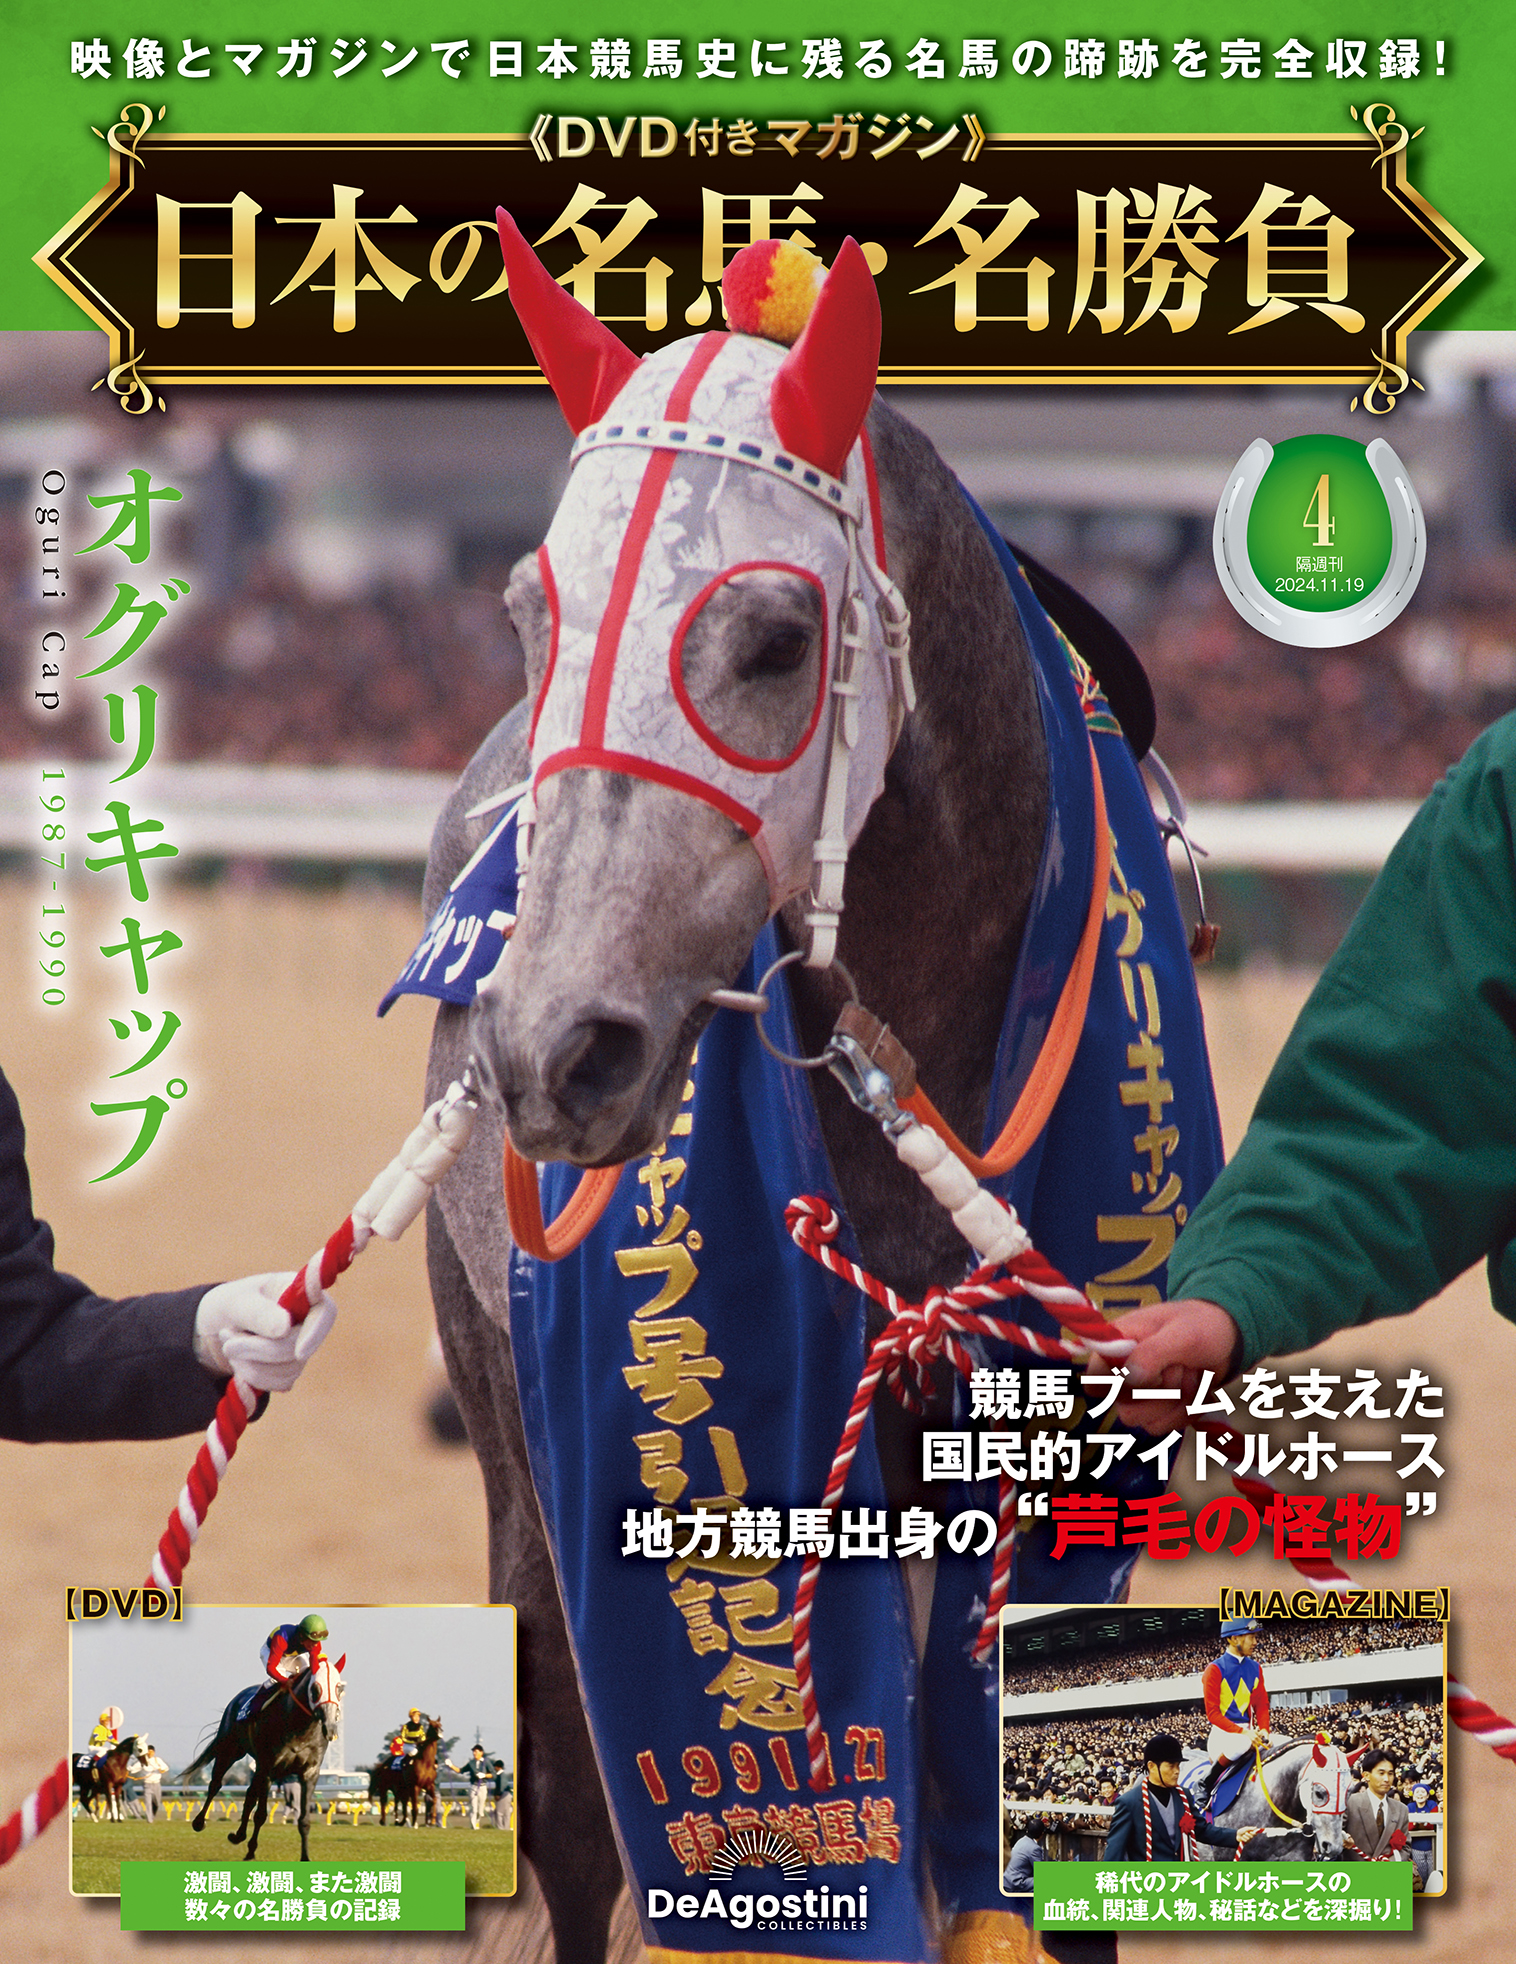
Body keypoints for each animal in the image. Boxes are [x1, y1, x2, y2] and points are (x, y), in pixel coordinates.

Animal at [184, 1656, 344, 1862]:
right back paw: (199, 1822)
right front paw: (251, 1851)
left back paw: (238, 1835)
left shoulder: (309, 1773)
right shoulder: (269, 1768)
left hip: (256, 1765)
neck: (300, 1728)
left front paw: (305, 1857)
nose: (330, 1728)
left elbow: (304, 1819)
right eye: (315, 1689)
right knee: (215, 1784)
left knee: (250, 1794)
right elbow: (260, 1814)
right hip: (231, 1750)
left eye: (339, 1688)